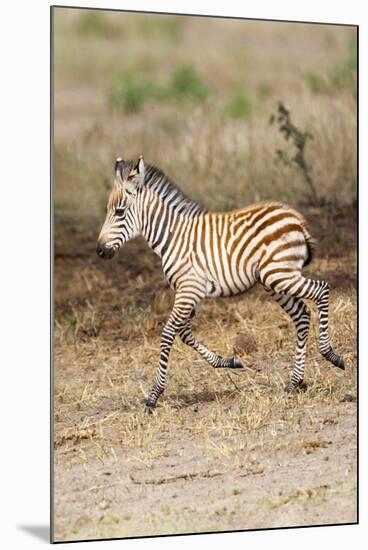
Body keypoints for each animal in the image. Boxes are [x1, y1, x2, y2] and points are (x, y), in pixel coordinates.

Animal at [96, 157, 344, 412]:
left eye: (119, 212)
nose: (100, 251)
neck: (172, 237)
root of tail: (296, 218)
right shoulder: (188, 293)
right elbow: (184, 333)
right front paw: (228, 362)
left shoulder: (189, 289)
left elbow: (168, 333)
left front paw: (153, 396)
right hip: (274, 280)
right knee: (302, 315)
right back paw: (294, 382)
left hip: (279, 274)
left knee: (322, 290)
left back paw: (331, 355)